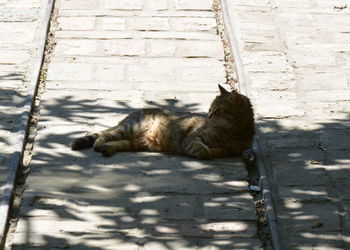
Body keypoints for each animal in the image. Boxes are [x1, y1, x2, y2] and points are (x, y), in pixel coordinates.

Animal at [70, 85, 254, 159]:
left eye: (218, 110)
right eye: (210, 109)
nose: (208, 116)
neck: (233, 133)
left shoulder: (230, 150)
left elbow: (219, 151)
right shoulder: (192, 137)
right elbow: (201, 148)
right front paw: (203, 152)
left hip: (135, 143)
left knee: (116, 142)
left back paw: (106, 149)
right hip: (129, 128)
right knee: (105, 134)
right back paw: (98, 145)